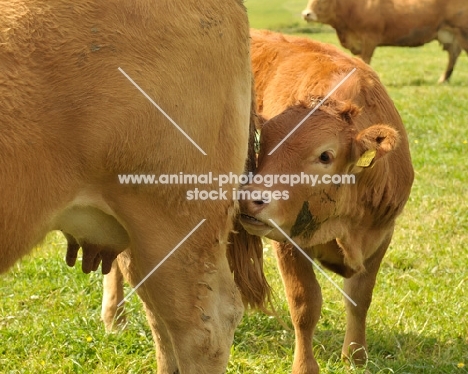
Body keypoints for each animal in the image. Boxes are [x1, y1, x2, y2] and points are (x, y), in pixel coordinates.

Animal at [241, 30, 414, 374]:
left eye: (325, 156)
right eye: (262, 143)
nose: (251, 200)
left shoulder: (382, 233)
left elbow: (360, 298)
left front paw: (356, 357)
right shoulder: (286, 239)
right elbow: (305, 304)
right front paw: (304, 366)